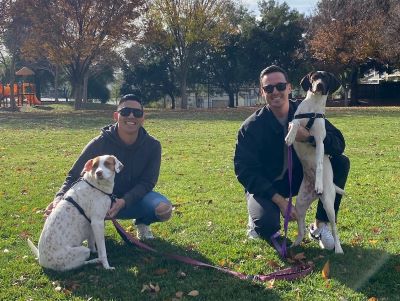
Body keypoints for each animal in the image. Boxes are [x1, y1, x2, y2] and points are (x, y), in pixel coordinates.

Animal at [286, 71, 346, 253]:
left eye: (325, 78)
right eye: (313, 77)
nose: (318, 85)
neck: (312, 109)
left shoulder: (319, 141)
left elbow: (319, 165)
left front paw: (318, 182)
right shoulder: (294, 120)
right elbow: (295, 124)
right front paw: (290, 137)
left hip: (328, 204)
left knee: (334, 228)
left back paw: (338, 249)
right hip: (299, 205)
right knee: (301, 229)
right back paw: (295, 244)